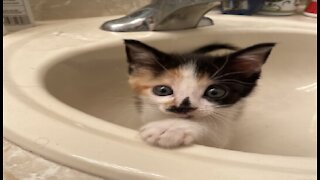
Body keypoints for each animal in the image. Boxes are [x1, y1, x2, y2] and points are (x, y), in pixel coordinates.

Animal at [124, 40, 274, 148]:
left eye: (215, 92)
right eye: (162, 90)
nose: (182, 107)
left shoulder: (224, 129)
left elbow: (215, 129)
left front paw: (170, 127)